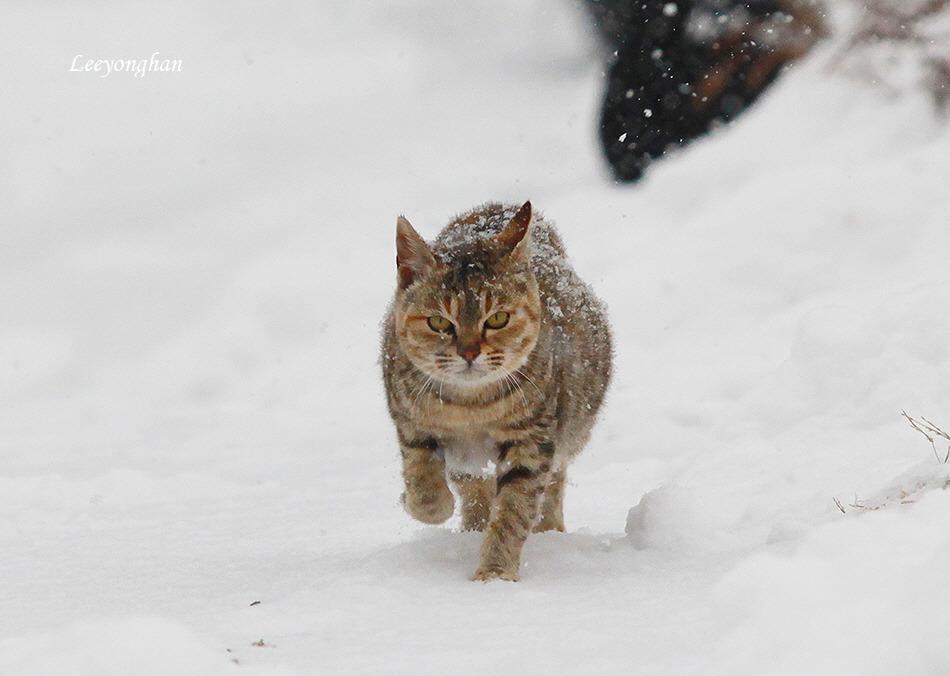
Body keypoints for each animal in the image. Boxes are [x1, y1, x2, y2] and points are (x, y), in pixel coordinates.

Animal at [382, 201, 612, 580]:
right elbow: (425, 488)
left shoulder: (530, 443)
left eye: (497, 319)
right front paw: (421, 502)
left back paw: (548, 530)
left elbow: (512, 513)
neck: (471, 406)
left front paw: (494, 574)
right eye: (439, 322)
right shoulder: (410, 423)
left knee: (554, 481)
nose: (469, 352)